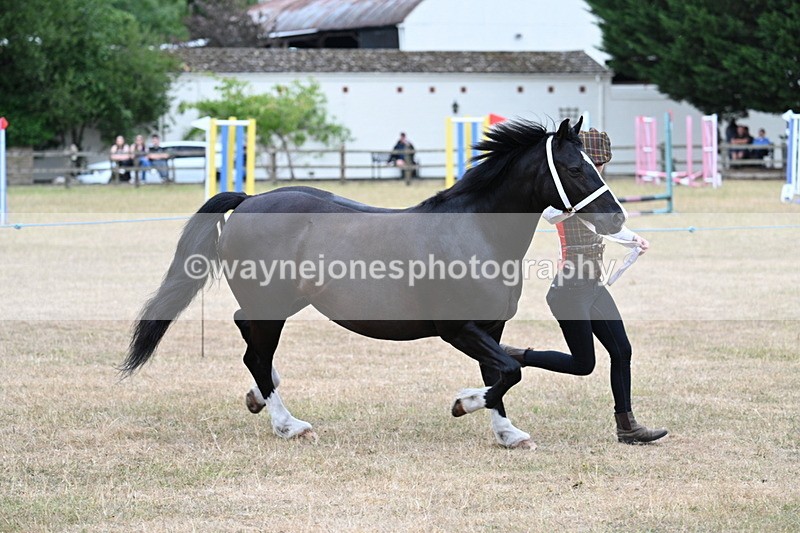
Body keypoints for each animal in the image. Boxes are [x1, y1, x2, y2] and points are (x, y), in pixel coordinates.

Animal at [122, 117, 626, 449]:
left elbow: (500, 374)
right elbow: (509, 372)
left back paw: (258, 399)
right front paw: (463, 403)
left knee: (248, 337)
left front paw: (507, 433)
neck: (474, 231)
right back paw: (288, 424)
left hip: (282, 304)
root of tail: (249, 199)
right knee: (256, 354)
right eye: (576, 168)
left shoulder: (491, 327)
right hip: (272, 306)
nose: (616, 218)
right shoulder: (459, 329)